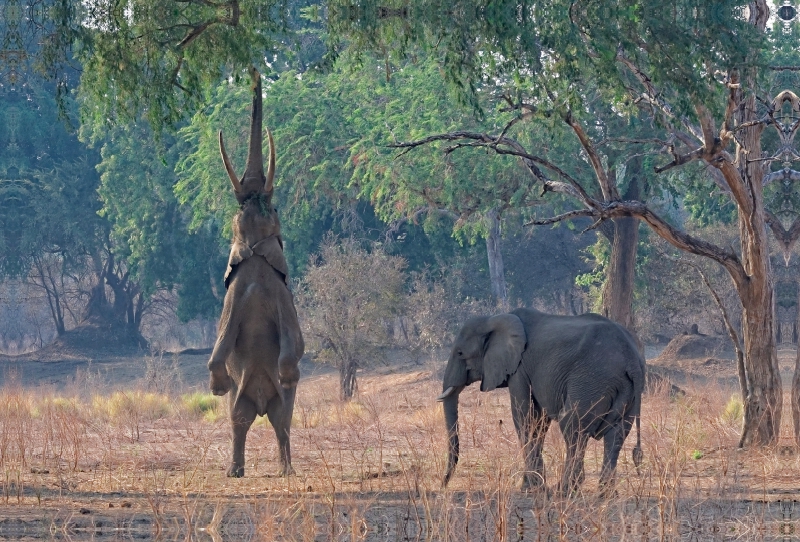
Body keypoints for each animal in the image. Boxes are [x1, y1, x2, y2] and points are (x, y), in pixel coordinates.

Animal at [438, 308, 644, 500]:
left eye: (460, 353)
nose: (443, 484)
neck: (493, 319)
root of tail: (632, 360)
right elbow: (539, 421)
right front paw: (534, 486)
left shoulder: (520, 368)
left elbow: (524, 416)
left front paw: (532, 488)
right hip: (625, 390)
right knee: (616, 434)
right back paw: (606, 495)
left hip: (591, 381)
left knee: (572, 426)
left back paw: (564, 491)